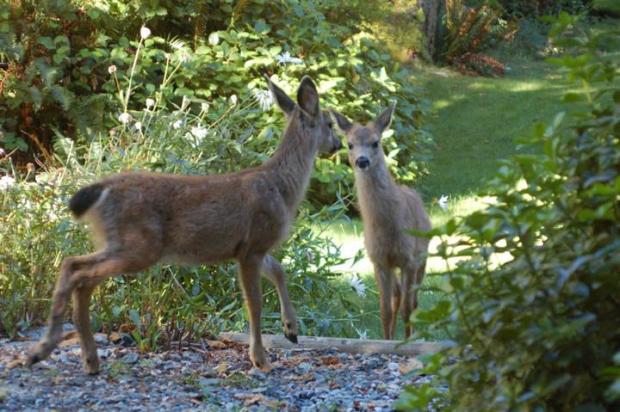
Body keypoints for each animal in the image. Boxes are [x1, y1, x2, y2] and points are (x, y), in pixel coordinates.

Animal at [26, 75, 342, 374]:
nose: (338, 144)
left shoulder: (251, 247)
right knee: (76, 269)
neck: (282, 187)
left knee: (78, 273)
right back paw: (46, 350)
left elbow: (279, 270)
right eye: (329, 123)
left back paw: (84, 359)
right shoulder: (253, 245)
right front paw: (260, 359)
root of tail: (101, 189)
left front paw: (291, 330)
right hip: (140, 244)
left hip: (120, 242)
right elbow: (255, 303)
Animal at [332, 104, 428, 340]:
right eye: (350, 144)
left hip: (423, 256)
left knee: (413, 301)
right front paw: (387, 341)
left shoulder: (409, 259)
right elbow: (384, 310)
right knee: (397, 296)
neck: (388, 227)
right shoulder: (379, 260)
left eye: (376, 142)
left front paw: (407, 342)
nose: (362, 160)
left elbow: (407, 309)